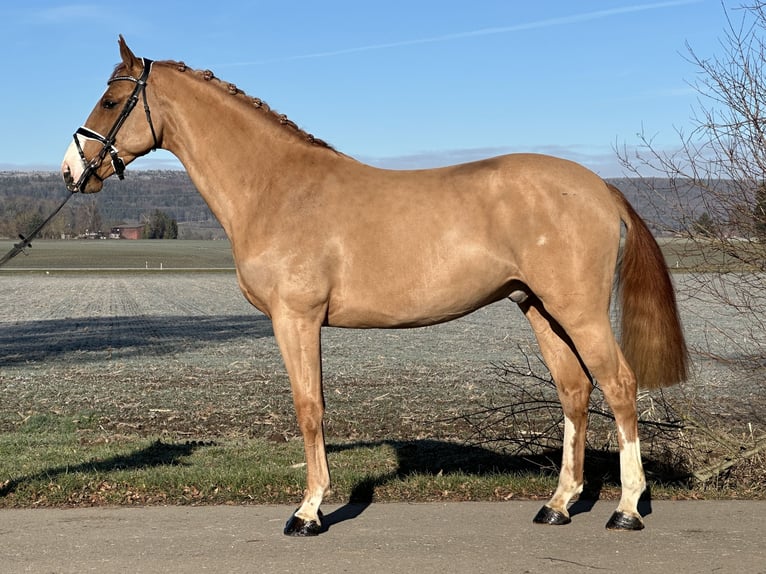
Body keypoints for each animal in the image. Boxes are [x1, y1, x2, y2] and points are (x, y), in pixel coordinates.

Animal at [61, 36, 688, 536]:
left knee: (620, 386)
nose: (71, 170)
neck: (275, 186)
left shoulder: (296, 319)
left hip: (578, 312)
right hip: (539, 309)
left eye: (112, 101)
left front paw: (309, 512)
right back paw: (558, 505)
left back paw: (626, 509)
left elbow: (309, 407)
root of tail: (600, 187)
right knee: (575, 392)